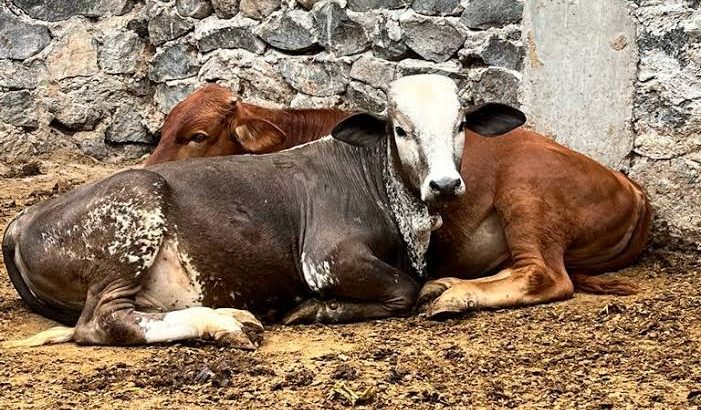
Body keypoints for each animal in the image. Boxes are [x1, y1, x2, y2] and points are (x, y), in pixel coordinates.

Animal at [142, 81, 652, 318]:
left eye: (197, 136)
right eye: (164, 129)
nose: (149, 167)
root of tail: (633, 188)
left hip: (528, 196)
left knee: (544, 275)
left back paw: (454, 295)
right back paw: (444, 285)